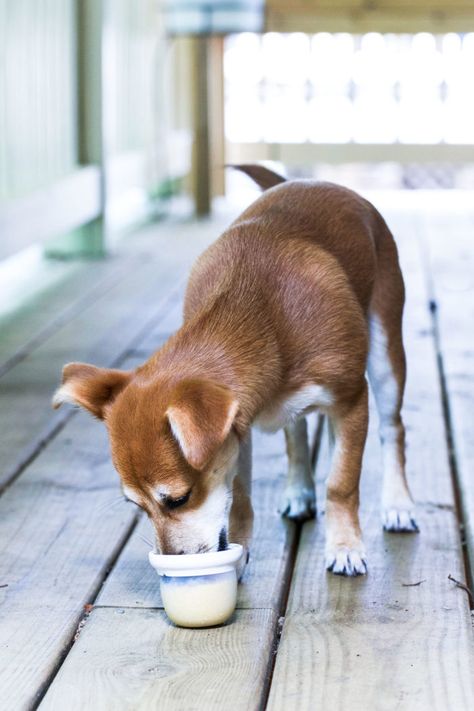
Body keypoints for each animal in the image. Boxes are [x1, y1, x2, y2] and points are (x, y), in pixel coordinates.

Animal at [53, 167, 418, 580]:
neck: (264, 318)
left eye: (179, 499)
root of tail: (310, 181)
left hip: (386, 352)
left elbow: (341, 483)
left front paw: (345, 548)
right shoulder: (236, 435)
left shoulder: (351, 402)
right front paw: (240, 552)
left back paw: (398, 504)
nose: (170, 568)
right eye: (137, 507)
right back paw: (299, 490)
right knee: (296, 431)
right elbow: (239, 495)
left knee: (393, 429)